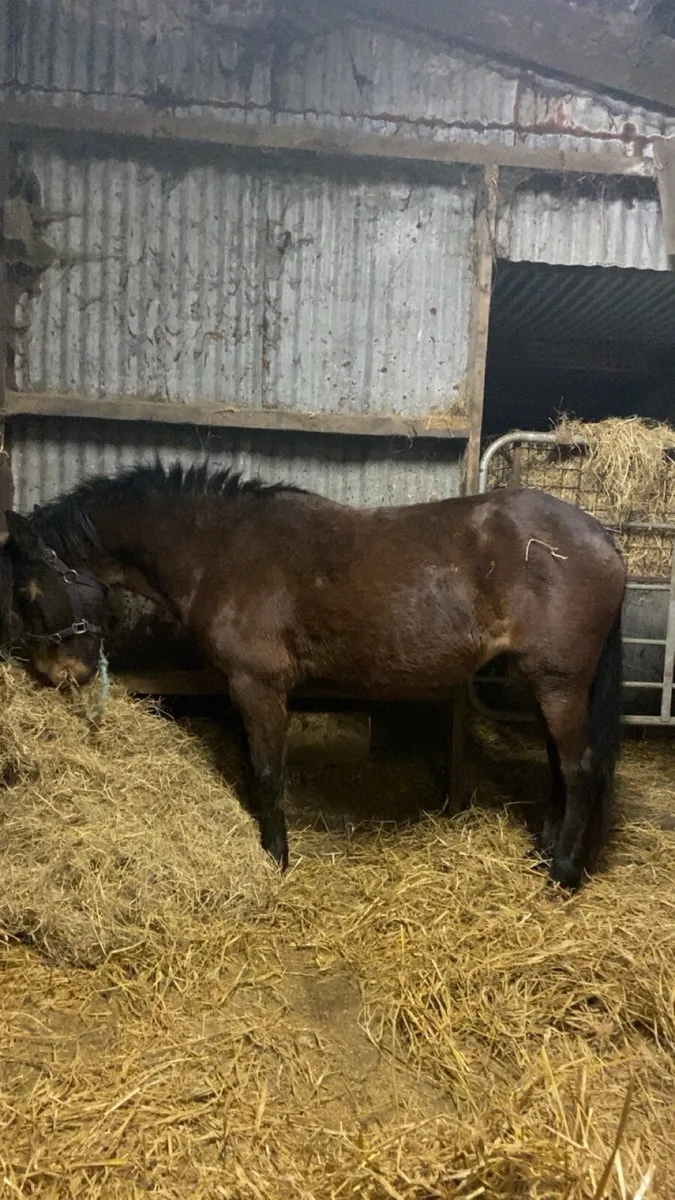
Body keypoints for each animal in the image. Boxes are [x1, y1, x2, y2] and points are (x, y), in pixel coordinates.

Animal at [1, 461, 626, 888]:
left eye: (27, 593)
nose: (58, 675)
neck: (221, 550)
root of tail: (602, 538)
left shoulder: (258, 686)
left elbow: (267, 772)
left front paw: (275, 857)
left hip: (559, 682)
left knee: (580, 769)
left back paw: (562, 873)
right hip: (544, 684)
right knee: (559, 768)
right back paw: (546, 853)